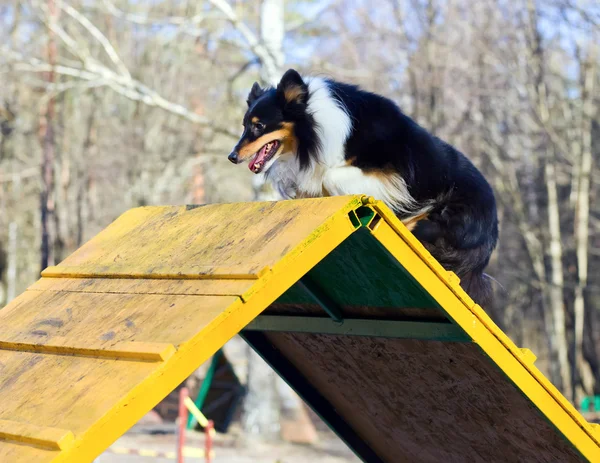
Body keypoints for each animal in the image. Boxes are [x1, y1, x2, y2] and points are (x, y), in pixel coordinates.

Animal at [227, 69, 500, 308]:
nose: (232, 157)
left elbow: (332, 176)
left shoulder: (389, 175)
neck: (314, 128)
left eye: (259, 126)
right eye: (244, 125)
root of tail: (491, 234)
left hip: (446, 219)